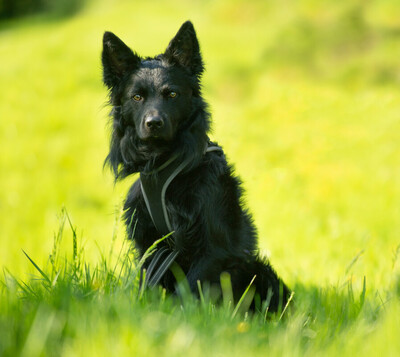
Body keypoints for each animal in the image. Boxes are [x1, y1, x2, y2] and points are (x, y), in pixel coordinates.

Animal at [101, 20, 290, 310]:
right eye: (137, 97)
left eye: (172, 94)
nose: (153, 123)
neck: (166, 165)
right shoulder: (150, 246)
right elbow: (150, 287)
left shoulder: (214, 247)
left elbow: (189, 291)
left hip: (258, 269)